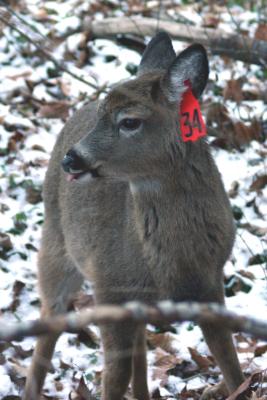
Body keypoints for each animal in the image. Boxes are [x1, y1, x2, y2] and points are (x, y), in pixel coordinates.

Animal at [24, 33, 246, 400]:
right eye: (104, 114)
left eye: (129, 121)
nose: (72, 159)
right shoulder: (109, 287)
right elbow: (114, 377)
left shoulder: (211, 283)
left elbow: (232, 366)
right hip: (55, 244)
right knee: (49, 324)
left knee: (140, 351)